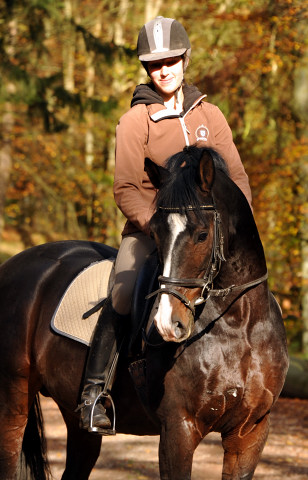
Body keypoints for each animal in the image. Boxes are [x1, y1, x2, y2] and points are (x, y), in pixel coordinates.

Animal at [0, 146, 288, 480]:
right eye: (155, 232)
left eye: (202, 235)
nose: (168, 324)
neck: (238, 324)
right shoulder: (179, 428)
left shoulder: (250, 431)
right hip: (12, 401)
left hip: (75, 420)